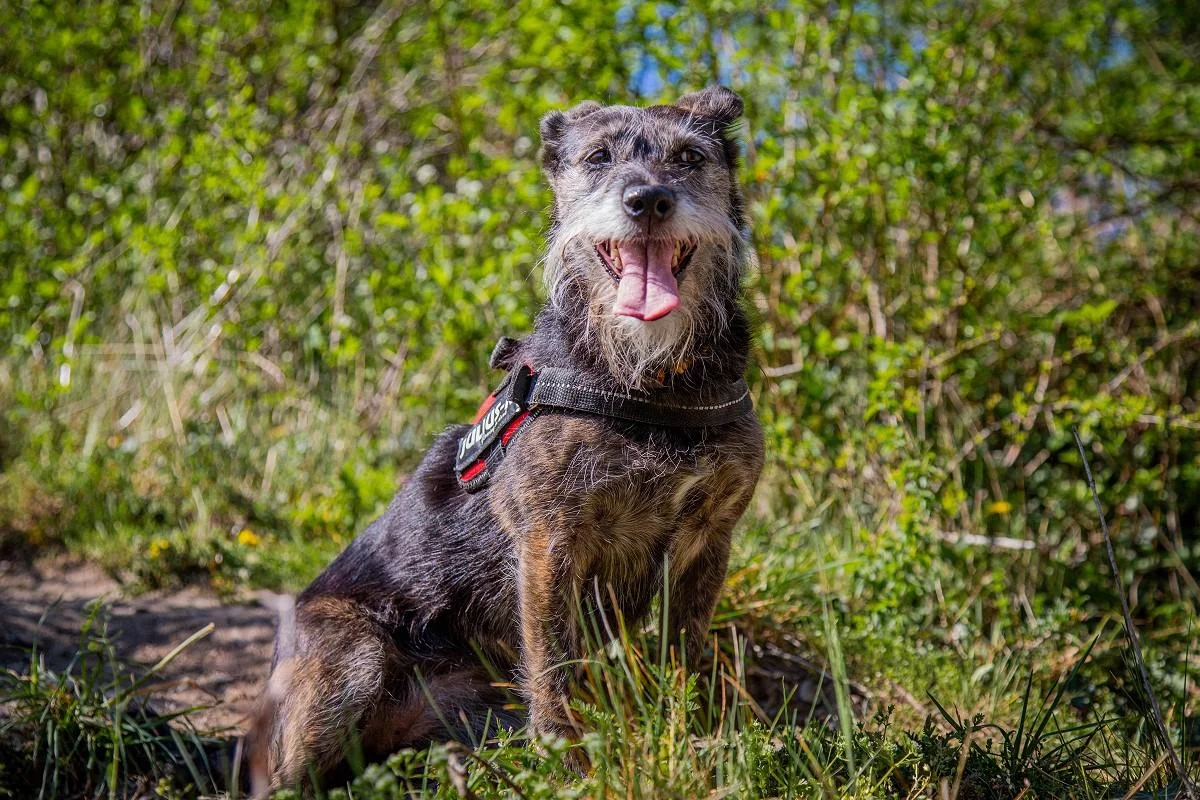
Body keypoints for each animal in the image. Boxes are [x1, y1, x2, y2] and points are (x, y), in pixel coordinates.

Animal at [248, 87, 763, 796]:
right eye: (598, 158)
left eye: (689, 157)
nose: (648, 200)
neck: (651, 377)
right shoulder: (550, 540)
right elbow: (552, 665)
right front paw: (571, 765)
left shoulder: (709, 539)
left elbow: (684, 657)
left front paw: (691, 742)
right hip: (350, 659)